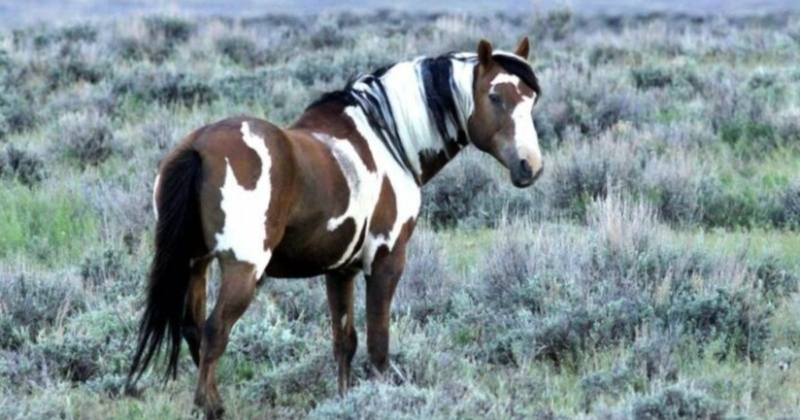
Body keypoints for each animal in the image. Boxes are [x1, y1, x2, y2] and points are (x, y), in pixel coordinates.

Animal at [126, 37, 544, 418]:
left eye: (531, 99)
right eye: (495, 96)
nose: (531, 166)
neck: (387, 139)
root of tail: (198, 146)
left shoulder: (339, 271)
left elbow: (345, 341)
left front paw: (345, 402)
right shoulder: (386, 261)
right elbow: (378, 345)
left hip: (196, 264)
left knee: (194, 329)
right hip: (242, 269)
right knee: (215, 331)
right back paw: (211, 406)